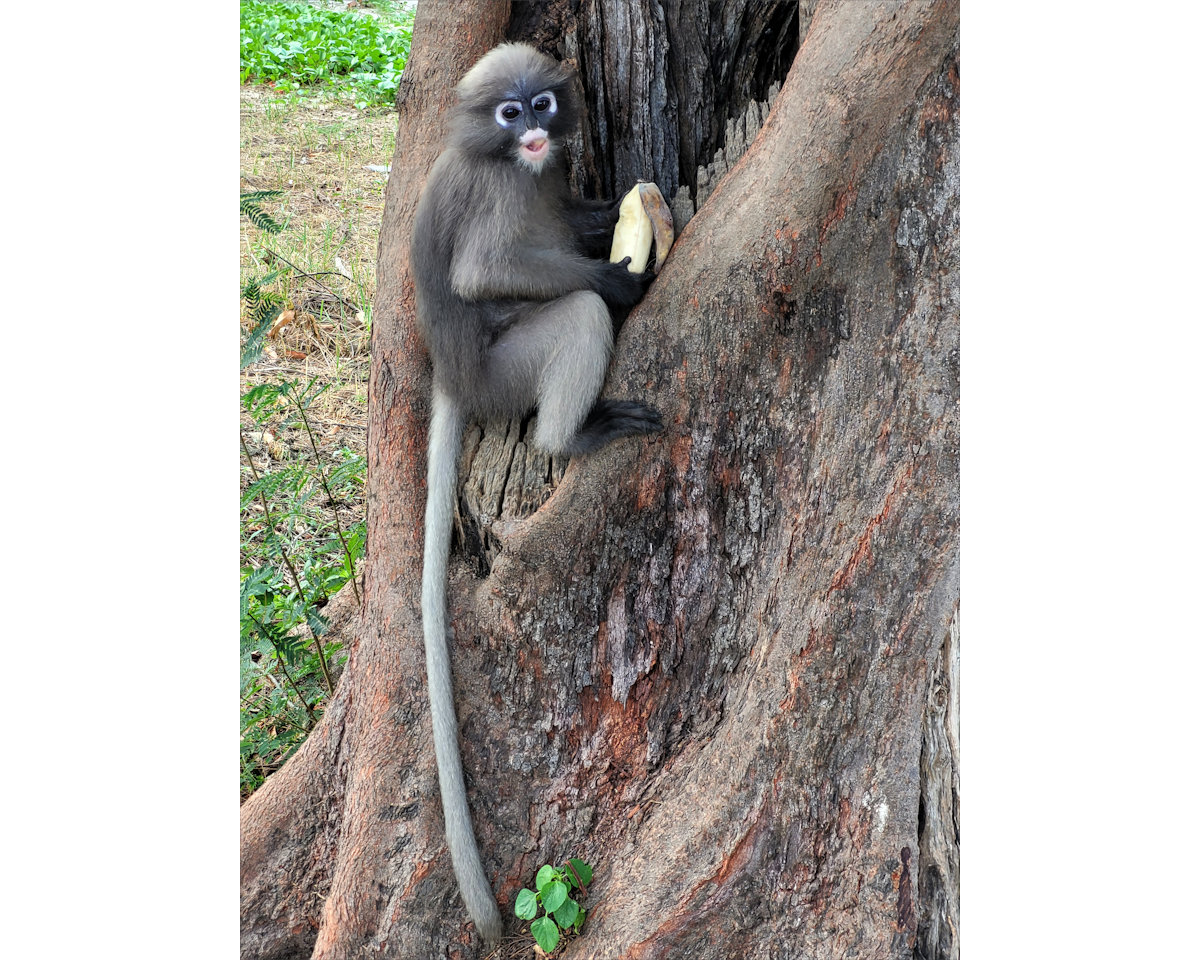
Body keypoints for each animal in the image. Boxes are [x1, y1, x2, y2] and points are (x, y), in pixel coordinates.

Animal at [409, 43, 663, 941]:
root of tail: (454, 377)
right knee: (577, 312)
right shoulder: (502, 191)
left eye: (542, 104)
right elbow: (488, 270)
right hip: (508, 369)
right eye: (507, 113)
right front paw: (619, 275)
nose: (534, 135)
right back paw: (570, 436)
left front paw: (617, 209)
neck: (508, 162)